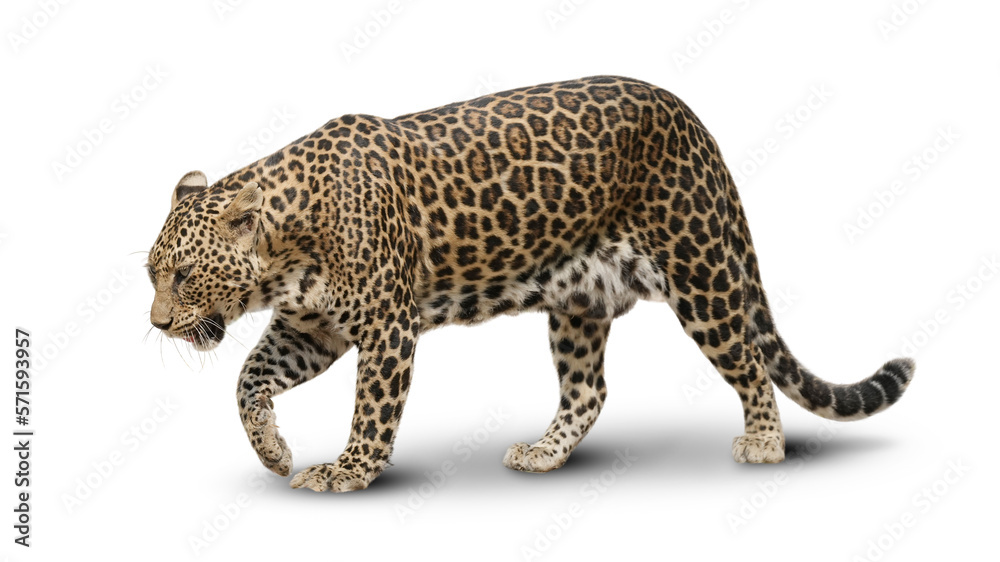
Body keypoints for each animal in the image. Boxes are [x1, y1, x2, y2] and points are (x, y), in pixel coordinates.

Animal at [146, 75, 915, 492]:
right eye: (152, 275)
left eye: (183, 274)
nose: (155, 325)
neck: (285, 250)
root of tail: (692, 121)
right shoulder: (314, 330)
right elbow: (247, 380)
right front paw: (273, 452)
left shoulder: (386, 330)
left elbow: (371, 410)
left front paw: (350, 470)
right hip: (579, 299)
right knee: (588, 389)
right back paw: (545, 453)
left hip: (699, 271)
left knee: (748, 360)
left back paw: (763, 442)